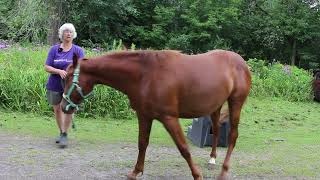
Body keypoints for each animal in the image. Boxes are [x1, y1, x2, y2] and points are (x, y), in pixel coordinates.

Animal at [61, 49, 251, 180]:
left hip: (235, 103)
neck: (145, 75)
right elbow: (142, 143)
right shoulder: (144, 116)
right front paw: (135, 172)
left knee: (233, 135)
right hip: (215, 107)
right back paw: (212, 160)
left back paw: (224, 172)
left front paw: (197, 175)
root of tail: (241, 61)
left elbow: (184, 148)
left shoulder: (169, 118)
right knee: (217, 131)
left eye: (69, 77)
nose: (64, 107)